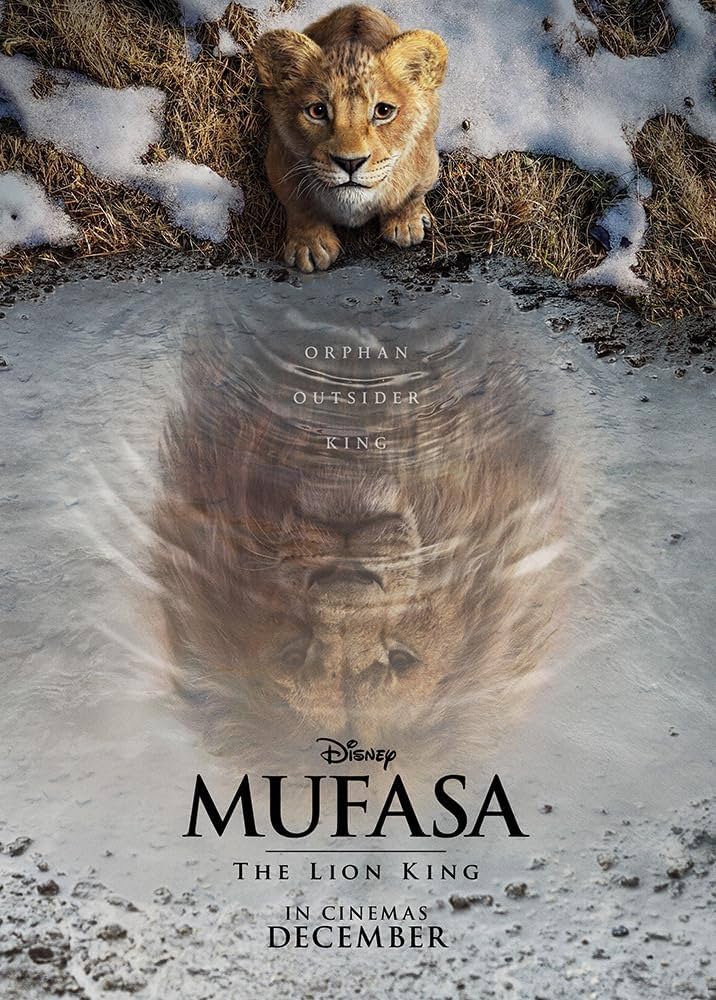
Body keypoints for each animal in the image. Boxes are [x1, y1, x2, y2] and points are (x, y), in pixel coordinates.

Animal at [253, 4, 448, 272]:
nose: (350, 163)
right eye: (317, 111)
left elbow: (411, 195)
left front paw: (406, 224)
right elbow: (299, 205)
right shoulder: (279, 163)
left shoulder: (427, 162)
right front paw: (309, 246)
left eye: (383, 111)